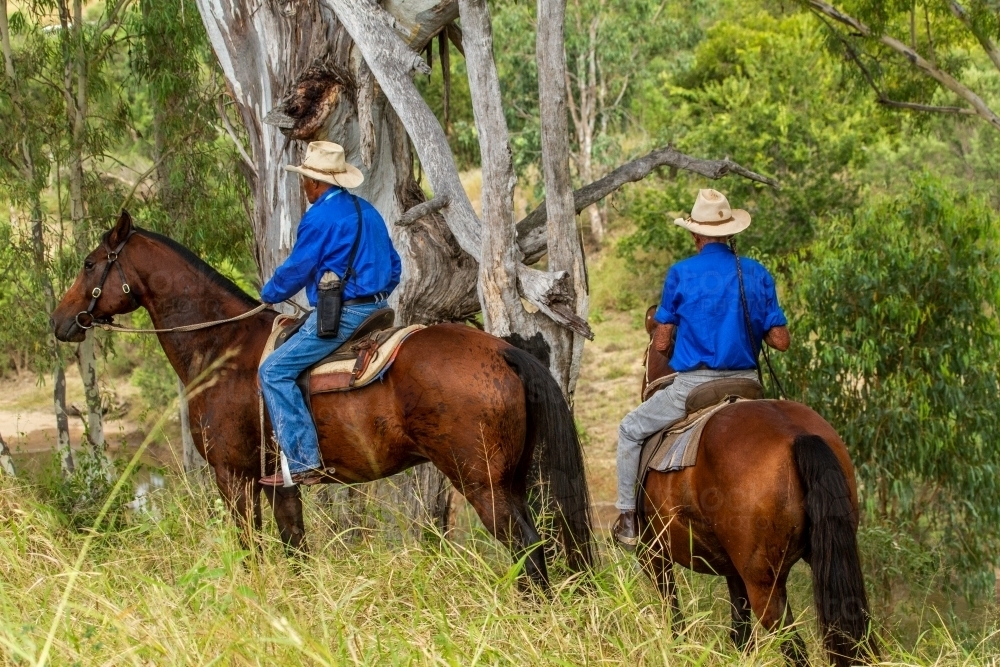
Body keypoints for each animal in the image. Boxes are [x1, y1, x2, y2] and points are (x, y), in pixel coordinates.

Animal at [50, 213, 588, 584]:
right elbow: (295, 549)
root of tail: (502, 350)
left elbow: (251, 550)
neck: (222, 348)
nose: (59, 321)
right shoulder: (278, 483)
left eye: (89, 263)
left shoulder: (233, 478)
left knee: (528, 549)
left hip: (483, 486)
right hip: (515, 479)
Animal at [636, 306, 872, 664]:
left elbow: (674, 618)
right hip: (831, 559)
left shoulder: (655, 556)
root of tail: (796, 435)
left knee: (793, 646)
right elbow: (740, 635)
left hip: (763, 582)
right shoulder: (732, 572)